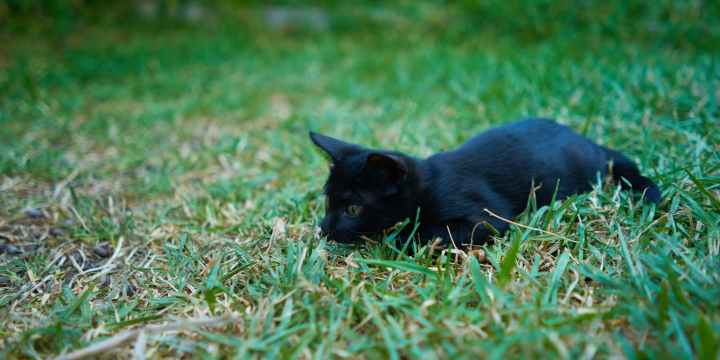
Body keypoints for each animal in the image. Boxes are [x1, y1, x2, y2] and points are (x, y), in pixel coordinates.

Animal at [308, 118, 660, 248]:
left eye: (353, 208)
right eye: (326, 202)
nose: (324, 228)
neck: (432, 182)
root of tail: (587, 142)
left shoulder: (488, 216)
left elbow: (431, 231)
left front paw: (397, 237)